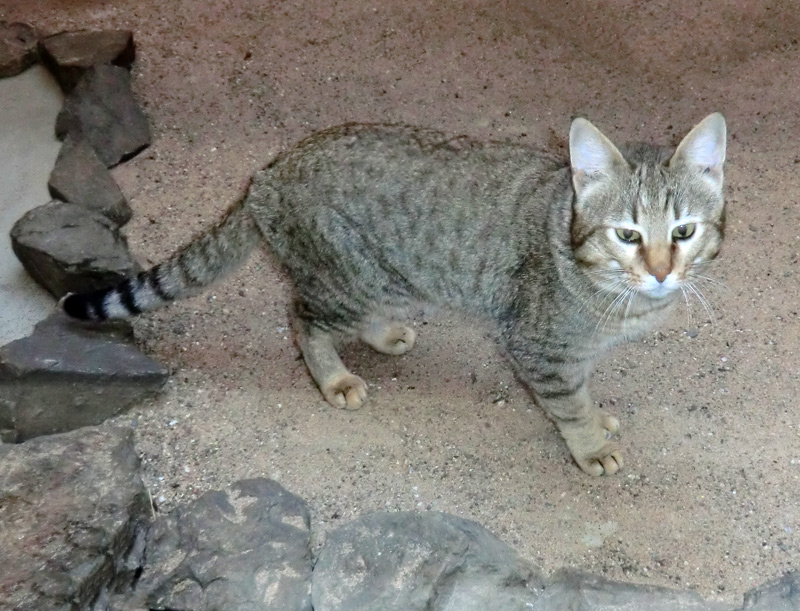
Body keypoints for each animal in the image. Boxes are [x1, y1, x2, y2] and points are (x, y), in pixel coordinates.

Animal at [59, 116, 728, 478]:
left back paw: (383, 334)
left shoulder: (572, 352)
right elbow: (569, 405)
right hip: (345, 281)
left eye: (684, 232)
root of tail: (266, 174)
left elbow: (584, 391)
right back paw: (333, 377)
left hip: (384, 276)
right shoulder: (539, 347)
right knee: (302, 319)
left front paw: (598, 415)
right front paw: (591, 444)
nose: (662, 272)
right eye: (628, 234)